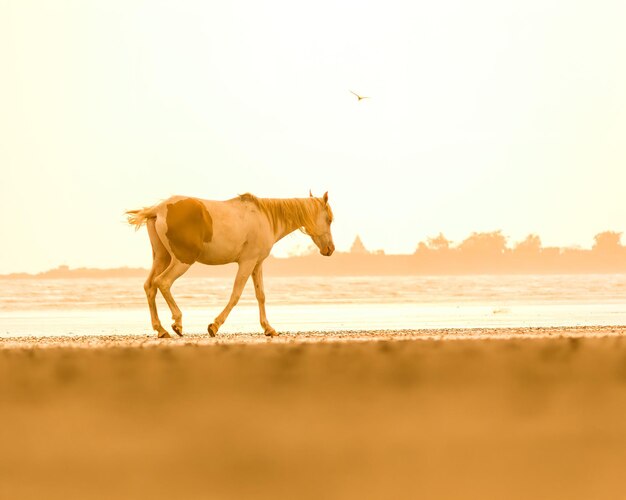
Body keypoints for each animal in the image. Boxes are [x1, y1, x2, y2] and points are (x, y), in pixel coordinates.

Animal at [123, 191, 334, 340]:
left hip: (161, 258)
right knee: (163, 282)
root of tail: (158, 209)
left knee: (150, 286)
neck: (264, 216)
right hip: (181, 261)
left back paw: (161, 330)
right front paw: (214, 326)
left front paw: (269, 328)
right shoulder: (247, 263)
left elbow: (261, 296)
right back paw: (177, 323)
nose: (330, 249)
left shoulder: (257, 264)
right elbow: (236, 295)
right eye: (329, 219)